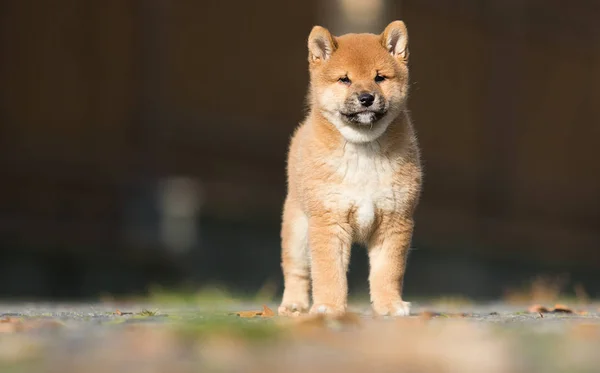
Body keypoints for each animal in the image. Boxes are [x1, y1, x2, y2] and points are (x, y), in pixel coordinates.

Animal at [278, 20, 422, 316]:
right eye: (345, 79)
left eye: (380, 77)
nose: (366, 98)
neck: (362, 150)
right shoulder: (328, 221)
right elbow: (328, 272)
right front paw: (329, 307)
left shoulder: (395, 220)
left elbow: (387, 271)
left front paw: (389, 304)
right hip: (297, 230)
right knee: (296, 271)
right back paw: (294, 305)